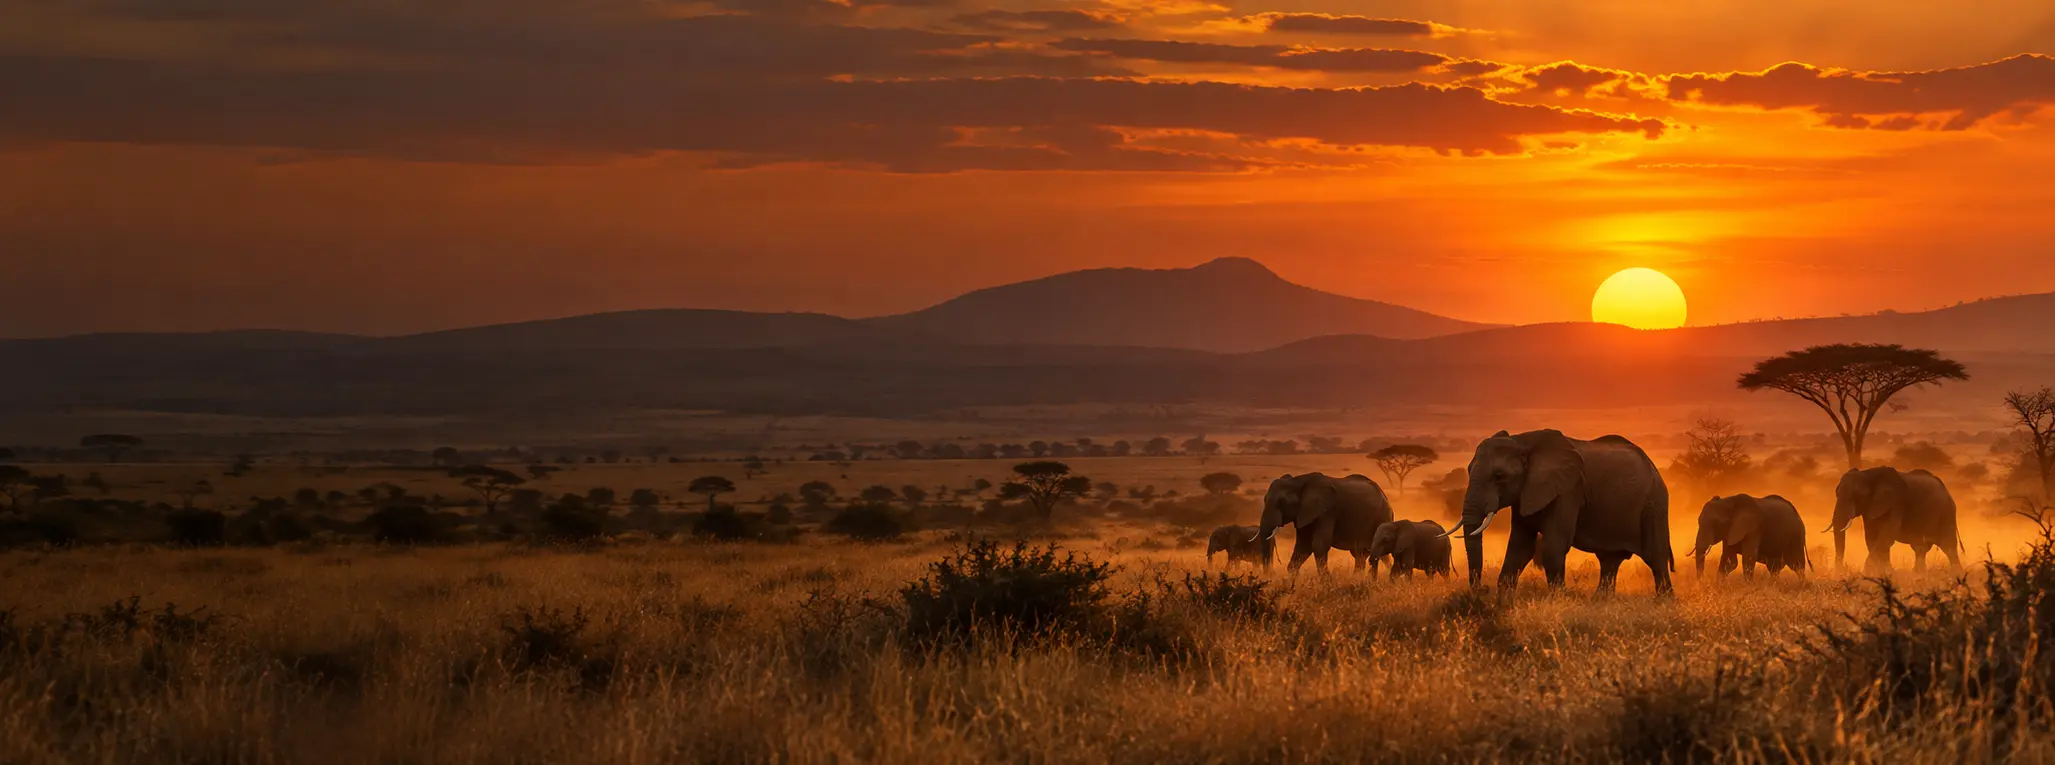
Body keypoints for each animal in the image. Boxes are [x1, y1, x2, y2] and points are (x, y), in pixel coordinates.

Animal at [1256, 473, 1396, 574]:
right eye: (1264, 500)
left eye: (1282, 502)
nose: (1271, 574)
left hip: (1382, 518)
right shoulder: (1304, 514)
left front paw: (1327, 584)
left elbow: (1318, 545)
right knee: (1360, 554)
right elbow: (1303, 546)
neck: (1298, 481)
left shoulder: (1327, 511)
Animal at [1447, 430, 1674, 595]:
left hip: (1653, 505)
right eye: (1468, 470)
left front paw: (1559, 599)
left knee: (1656, 558)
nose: (1483, 589)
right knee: (1609, 560)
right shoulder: (1525, 493)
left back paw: (1663, 603)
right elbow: (1520, 547)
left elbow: (1553, 546)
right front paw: (1503, 604)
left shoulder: (1568, 491)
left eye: (1499, 476)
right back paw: (1600, 603)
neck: (1523, 441)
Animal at [1829, 467, 1962, 572]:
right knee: (1920, 549)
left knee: (1949, 547)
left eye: (1856, 496)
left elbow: (1885, 538)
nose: (1843, 569)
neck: (1869, 475)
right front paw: (1885, 573)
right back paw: (1919, 574)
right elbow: (1872, 539)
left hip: (1947, 513)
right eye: (1836, 494)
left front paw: (1869, 572)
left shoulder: (1897, 503)